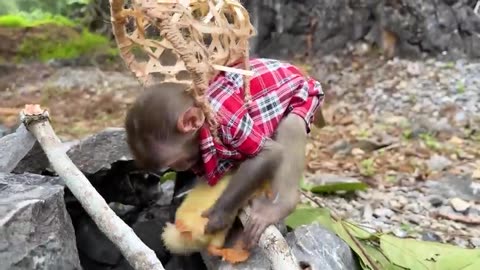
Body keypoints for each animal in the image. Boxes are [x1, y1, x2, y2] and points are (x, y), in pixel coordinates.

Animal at [125, 58, 324, 248]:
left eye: (178, 162)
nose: (184, 167)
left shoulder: (228, 121)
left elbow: (268, 153)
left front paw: (219, 216)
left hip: (307, 92)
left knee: (292, 124)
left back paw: (282, 204)